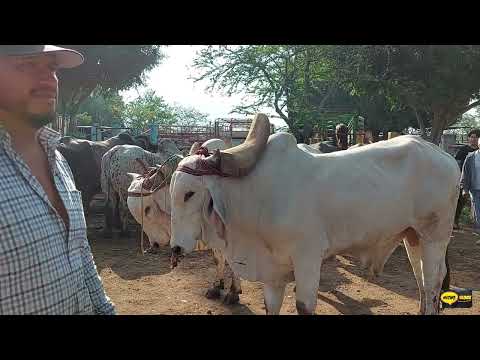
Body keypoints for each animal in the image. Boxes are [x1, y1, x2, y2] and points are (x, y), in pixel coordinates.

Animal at [170, 113, 462, 316]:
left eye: (189, 194)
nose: (175, 249)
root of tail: (444, 155)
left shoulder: (308, 258)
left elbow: (304, 306)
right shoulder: (272, 271)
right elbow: (270, 305)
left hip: (435, 236)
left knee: (433, 282)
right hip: (413, 236)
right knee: (421, 276)